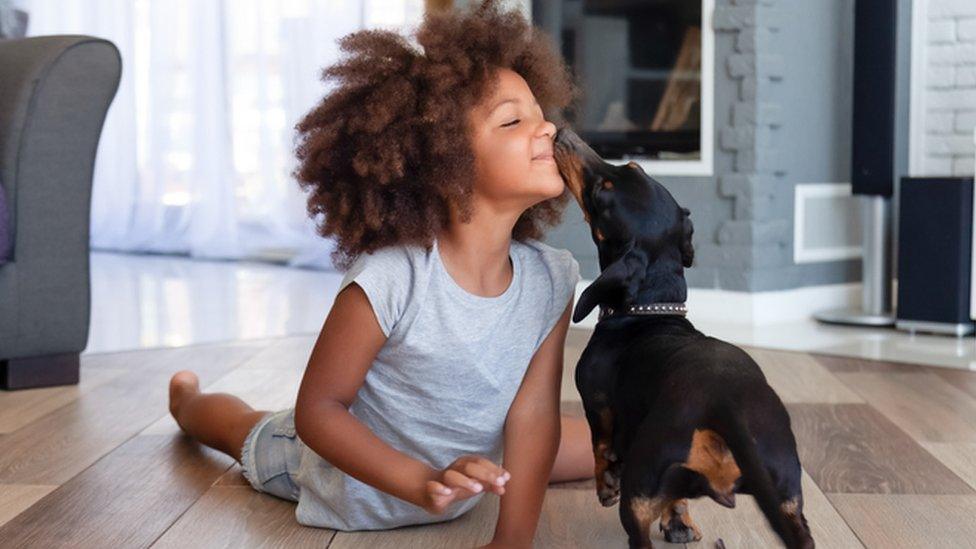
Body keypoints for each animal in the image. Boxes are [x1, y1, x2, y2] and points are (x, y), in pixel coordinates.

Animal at [552, 127, 812, 548]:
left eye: (602, 193)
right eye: (634, 166)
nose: (564, 134)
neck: (652, 310)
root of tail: (724, 406)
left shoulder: (596, 403)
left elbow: (600, 444)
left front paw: (606, 485)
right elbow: (676, 500)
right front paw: (680, 524)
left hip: (640, 488)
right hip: (788, 499)